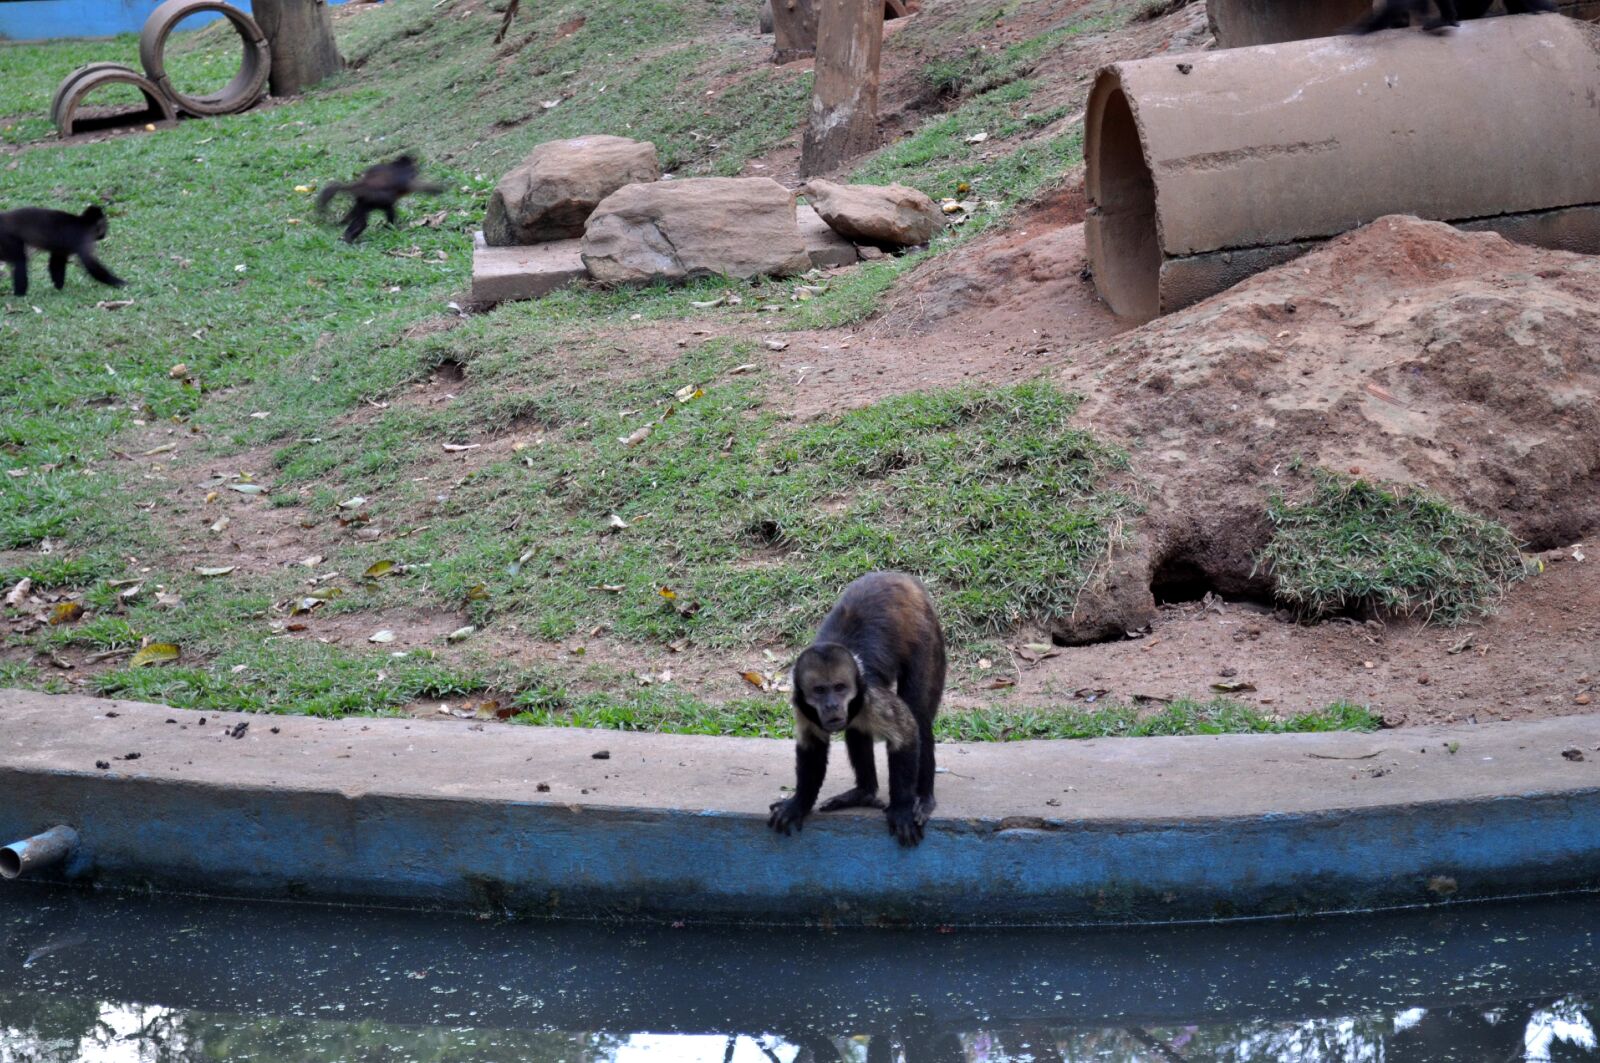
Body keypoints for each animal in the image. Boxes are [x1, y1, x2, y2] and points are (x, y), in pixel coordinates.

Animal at [315, 154, 444, 243]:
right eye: (414, 167)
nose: (417, 170)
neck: (398, 166)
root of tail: (361, 185)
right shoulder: (405, 179)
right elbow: (419, 186)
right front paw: (439, 189)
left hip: (363, 203)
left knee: (359, 219)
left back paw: (347, 235)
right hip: (376, 200)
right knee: (372, 218)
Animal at [768, 571, 947, 847]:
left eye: (840, 688)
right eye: (820, 691)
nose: (832, 704)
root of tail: (903, 578)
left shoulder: (870, 695)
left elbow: (907, 731)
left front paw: (902, 808)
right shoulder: (801, 704)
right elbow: (812, 745)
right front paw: (798, 804)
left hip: (926, 633)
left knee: (917, 711)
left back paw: (924, 798)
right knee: (856, 727)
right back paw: (863, 793)